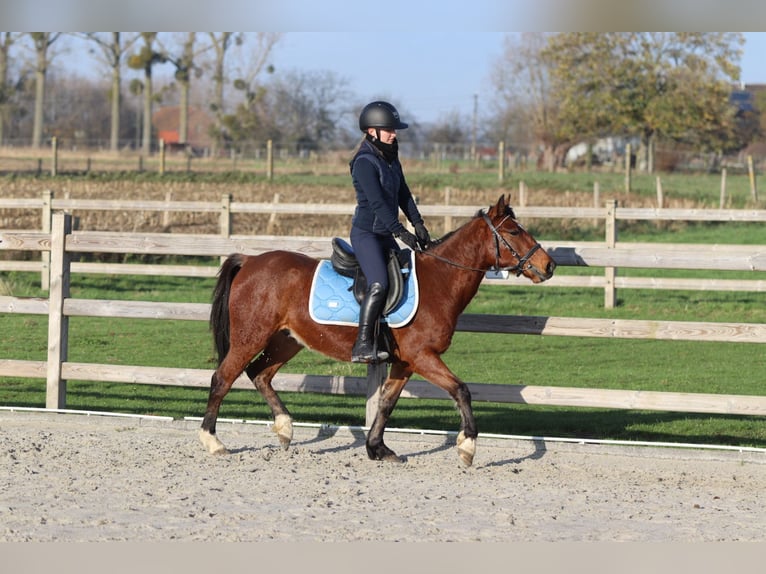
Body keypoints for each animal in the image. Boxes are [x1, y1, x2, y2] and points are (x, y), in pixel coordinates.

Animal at [200, 194, 556, 466]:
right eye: (513, 230)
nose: (549, 265)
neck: (439, 279)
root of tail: (250, 260)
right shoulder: (422, 356)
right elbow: (461, 390)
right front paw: (467, 447)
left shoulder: (405, 362)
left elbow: (386, 402)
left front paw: (377, 448)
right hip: (250, 337)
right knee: (223, 378)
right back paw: (213, 441)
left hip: (287, 341)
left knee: (260, 374)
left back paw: (285, 429)